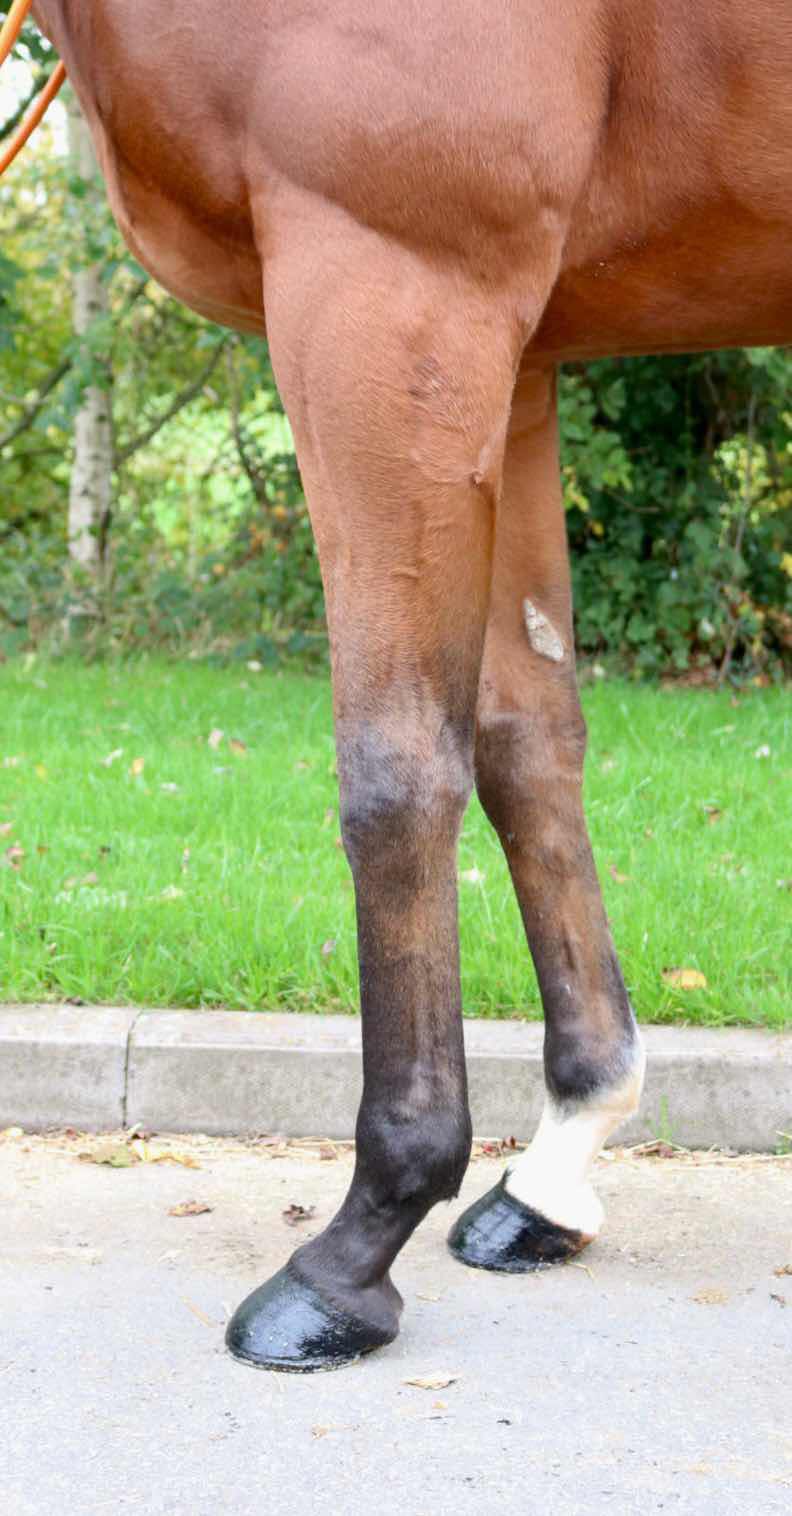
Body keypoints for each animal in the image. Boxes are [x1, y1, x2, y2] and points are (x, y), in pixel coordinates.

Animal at [22, 1, 792, 1372]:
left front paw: (357, 1244)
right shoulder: (515, 357)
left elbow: (399, 770)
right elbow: (524, 742)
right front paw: (559, 1161)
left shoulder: (394, 294)